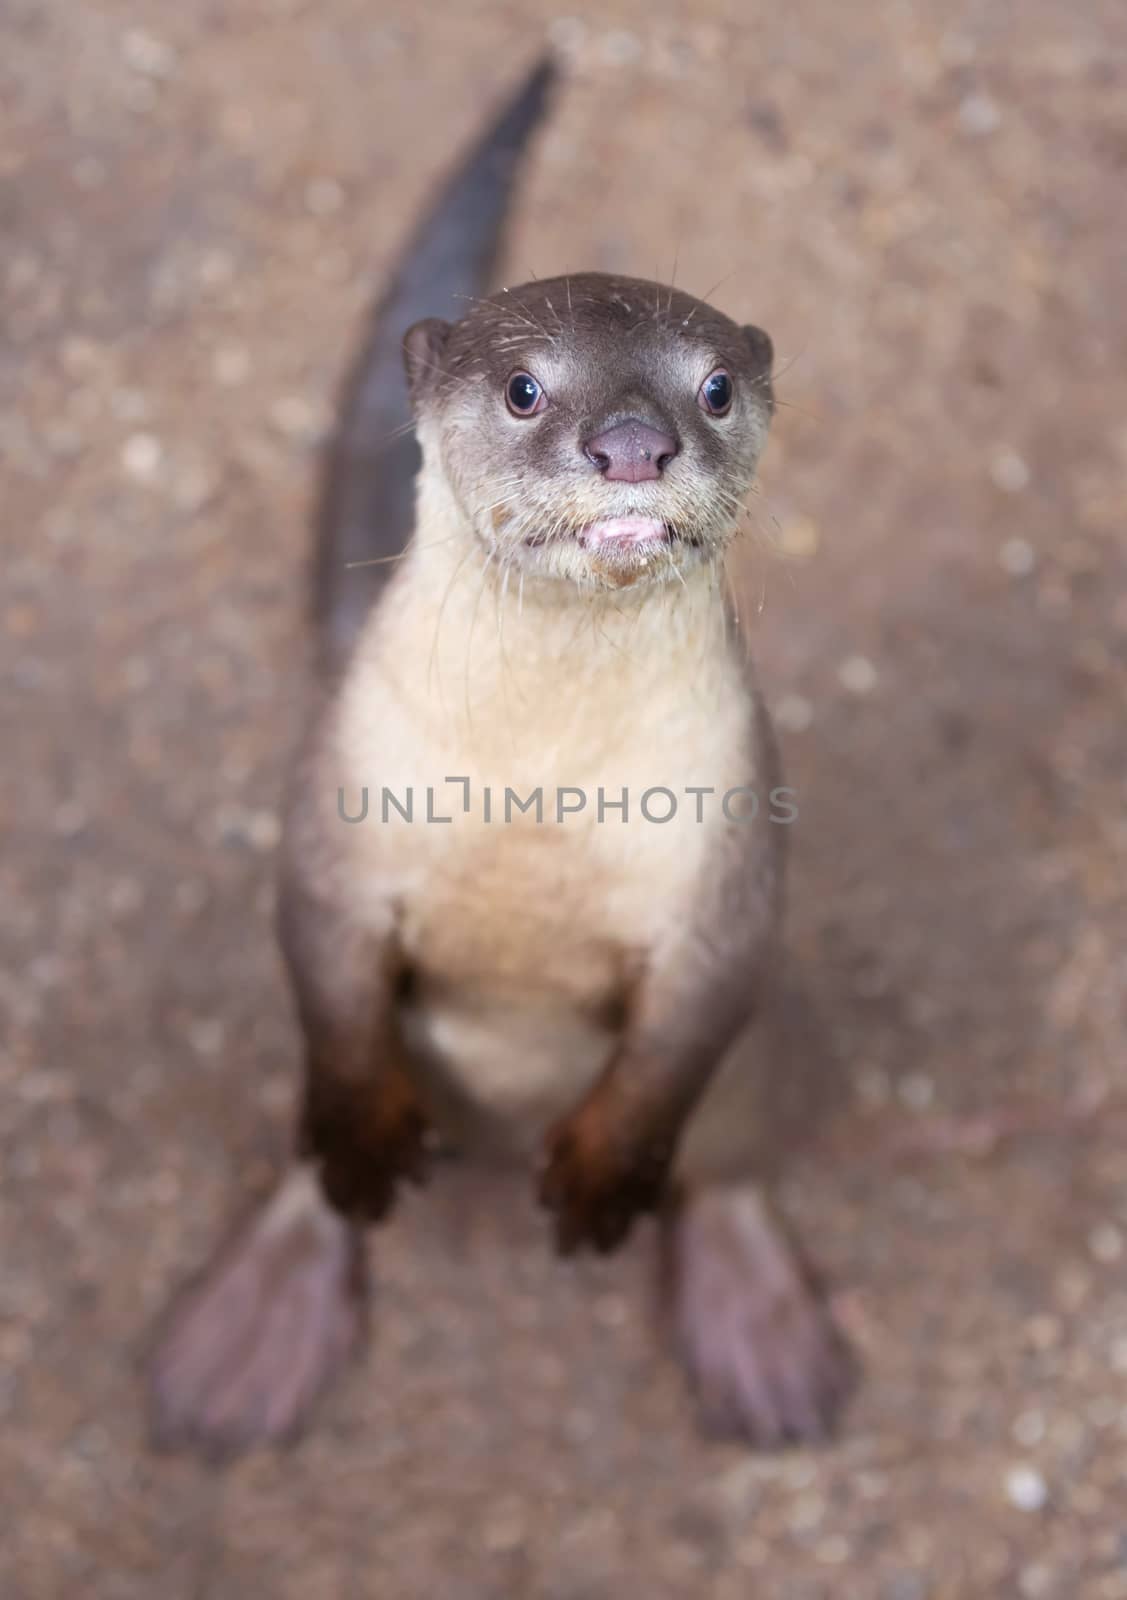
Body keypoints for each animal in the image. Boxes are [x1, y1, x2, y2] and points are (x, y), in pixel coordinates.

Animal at [147, 56, 851, 1459]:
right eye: (525, 388)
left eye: (714, 388)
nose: (632, 443)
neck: (533, 793)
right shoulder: (335, 827)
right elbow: (328, 974)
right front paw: (362, 1148)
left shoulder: (726, 863)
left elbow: (688, 1024)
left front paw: (598, 1181)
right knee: (304, 1146)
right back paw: (248, 1333)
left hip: (769, 1057)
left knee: (729, 1155)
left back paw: (761, 1338)